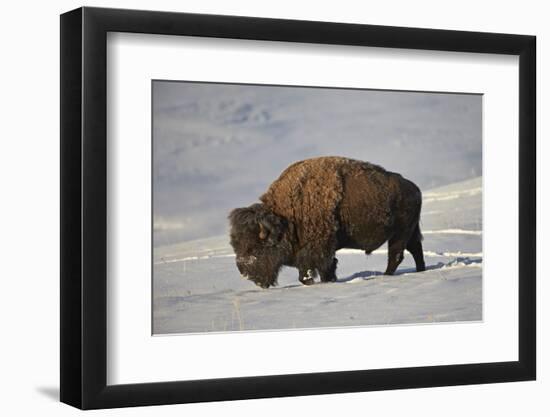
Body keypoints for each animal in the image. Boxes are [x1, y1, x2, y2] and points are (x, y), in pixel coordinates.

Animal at [229, 154, 426, 288]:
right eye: (236, 244)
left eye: (254, 247)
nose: (244, 271)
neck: (286, 217)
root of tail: (415, 189)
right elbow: (325, 268)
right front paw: (330, 280)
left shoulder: (317, 250)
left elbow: (310, 272)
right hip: (410, 231)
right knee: (415, 249)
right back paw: (420, 270)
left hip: (400, 233)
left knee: (396, 254)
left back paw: (386, 276)